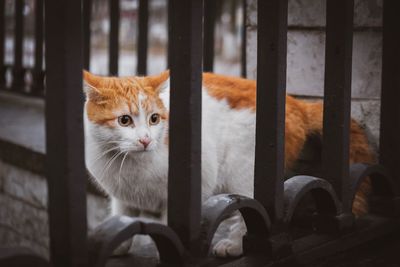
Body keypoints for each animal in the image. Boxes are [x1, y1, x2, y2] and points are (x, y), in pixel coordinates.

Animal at [83, 70, 374, 258]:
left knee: (251, 215)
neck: (130, 165)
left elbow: (168, 233)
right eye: (124, 121)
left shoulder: (189, 192)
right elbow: (122, 215)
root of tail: (295, 103)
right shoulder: (121, 195)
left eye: (154, 119)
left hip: (243, 175)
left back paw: (233, 246)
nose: (145, 140)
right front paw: (119, 246)